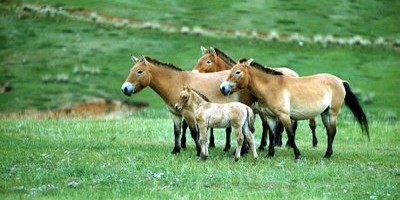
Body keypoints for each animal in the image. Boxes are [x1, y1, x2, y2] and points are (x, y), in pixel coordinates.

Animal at [120, 54, 255, 156]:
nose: (124, 89)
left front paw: (199, 151)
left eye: (139, 72)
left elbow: (194, 132)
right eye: (131, 71)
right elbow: (177, 131)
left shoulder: (188, 114)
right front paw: (176, 150)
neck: (175, 82)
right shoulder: (175, 113)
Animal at [220, 58, 370, 161]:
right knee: (330, 132)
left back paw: (327, 155)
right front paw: (270, 153)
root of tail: (340, 81)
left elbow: (291, 135)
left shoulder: (284, 116)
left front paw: (297, 155)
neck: (272, 87)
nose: (223, 88)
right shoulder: (270, 117)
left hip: (332, 113)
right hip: (325, 114)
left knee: (332, 132)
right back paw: (328, 153)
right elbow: (272, 135)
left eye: (237, 72)